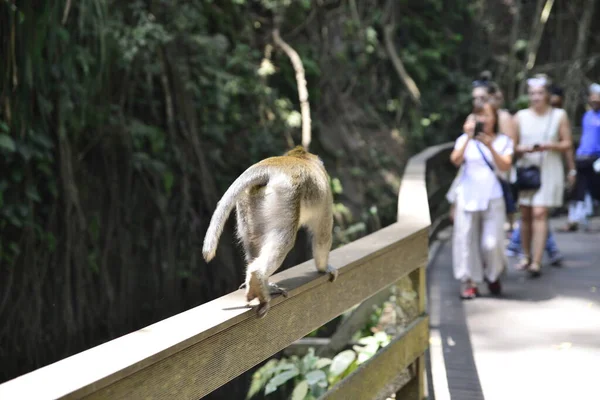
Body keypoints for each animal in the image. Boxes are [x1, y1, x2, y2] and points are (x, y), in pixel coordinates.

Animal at [203, 147, 338, 318]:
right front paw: (324, 268)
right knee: (284, 240)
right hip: (286, 196)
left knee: (253, 241)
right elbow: (322, 235)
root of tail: (270, 165)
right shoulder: (326, 196)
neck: (301, 157)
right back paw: (257, 276)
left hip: (247, 200)